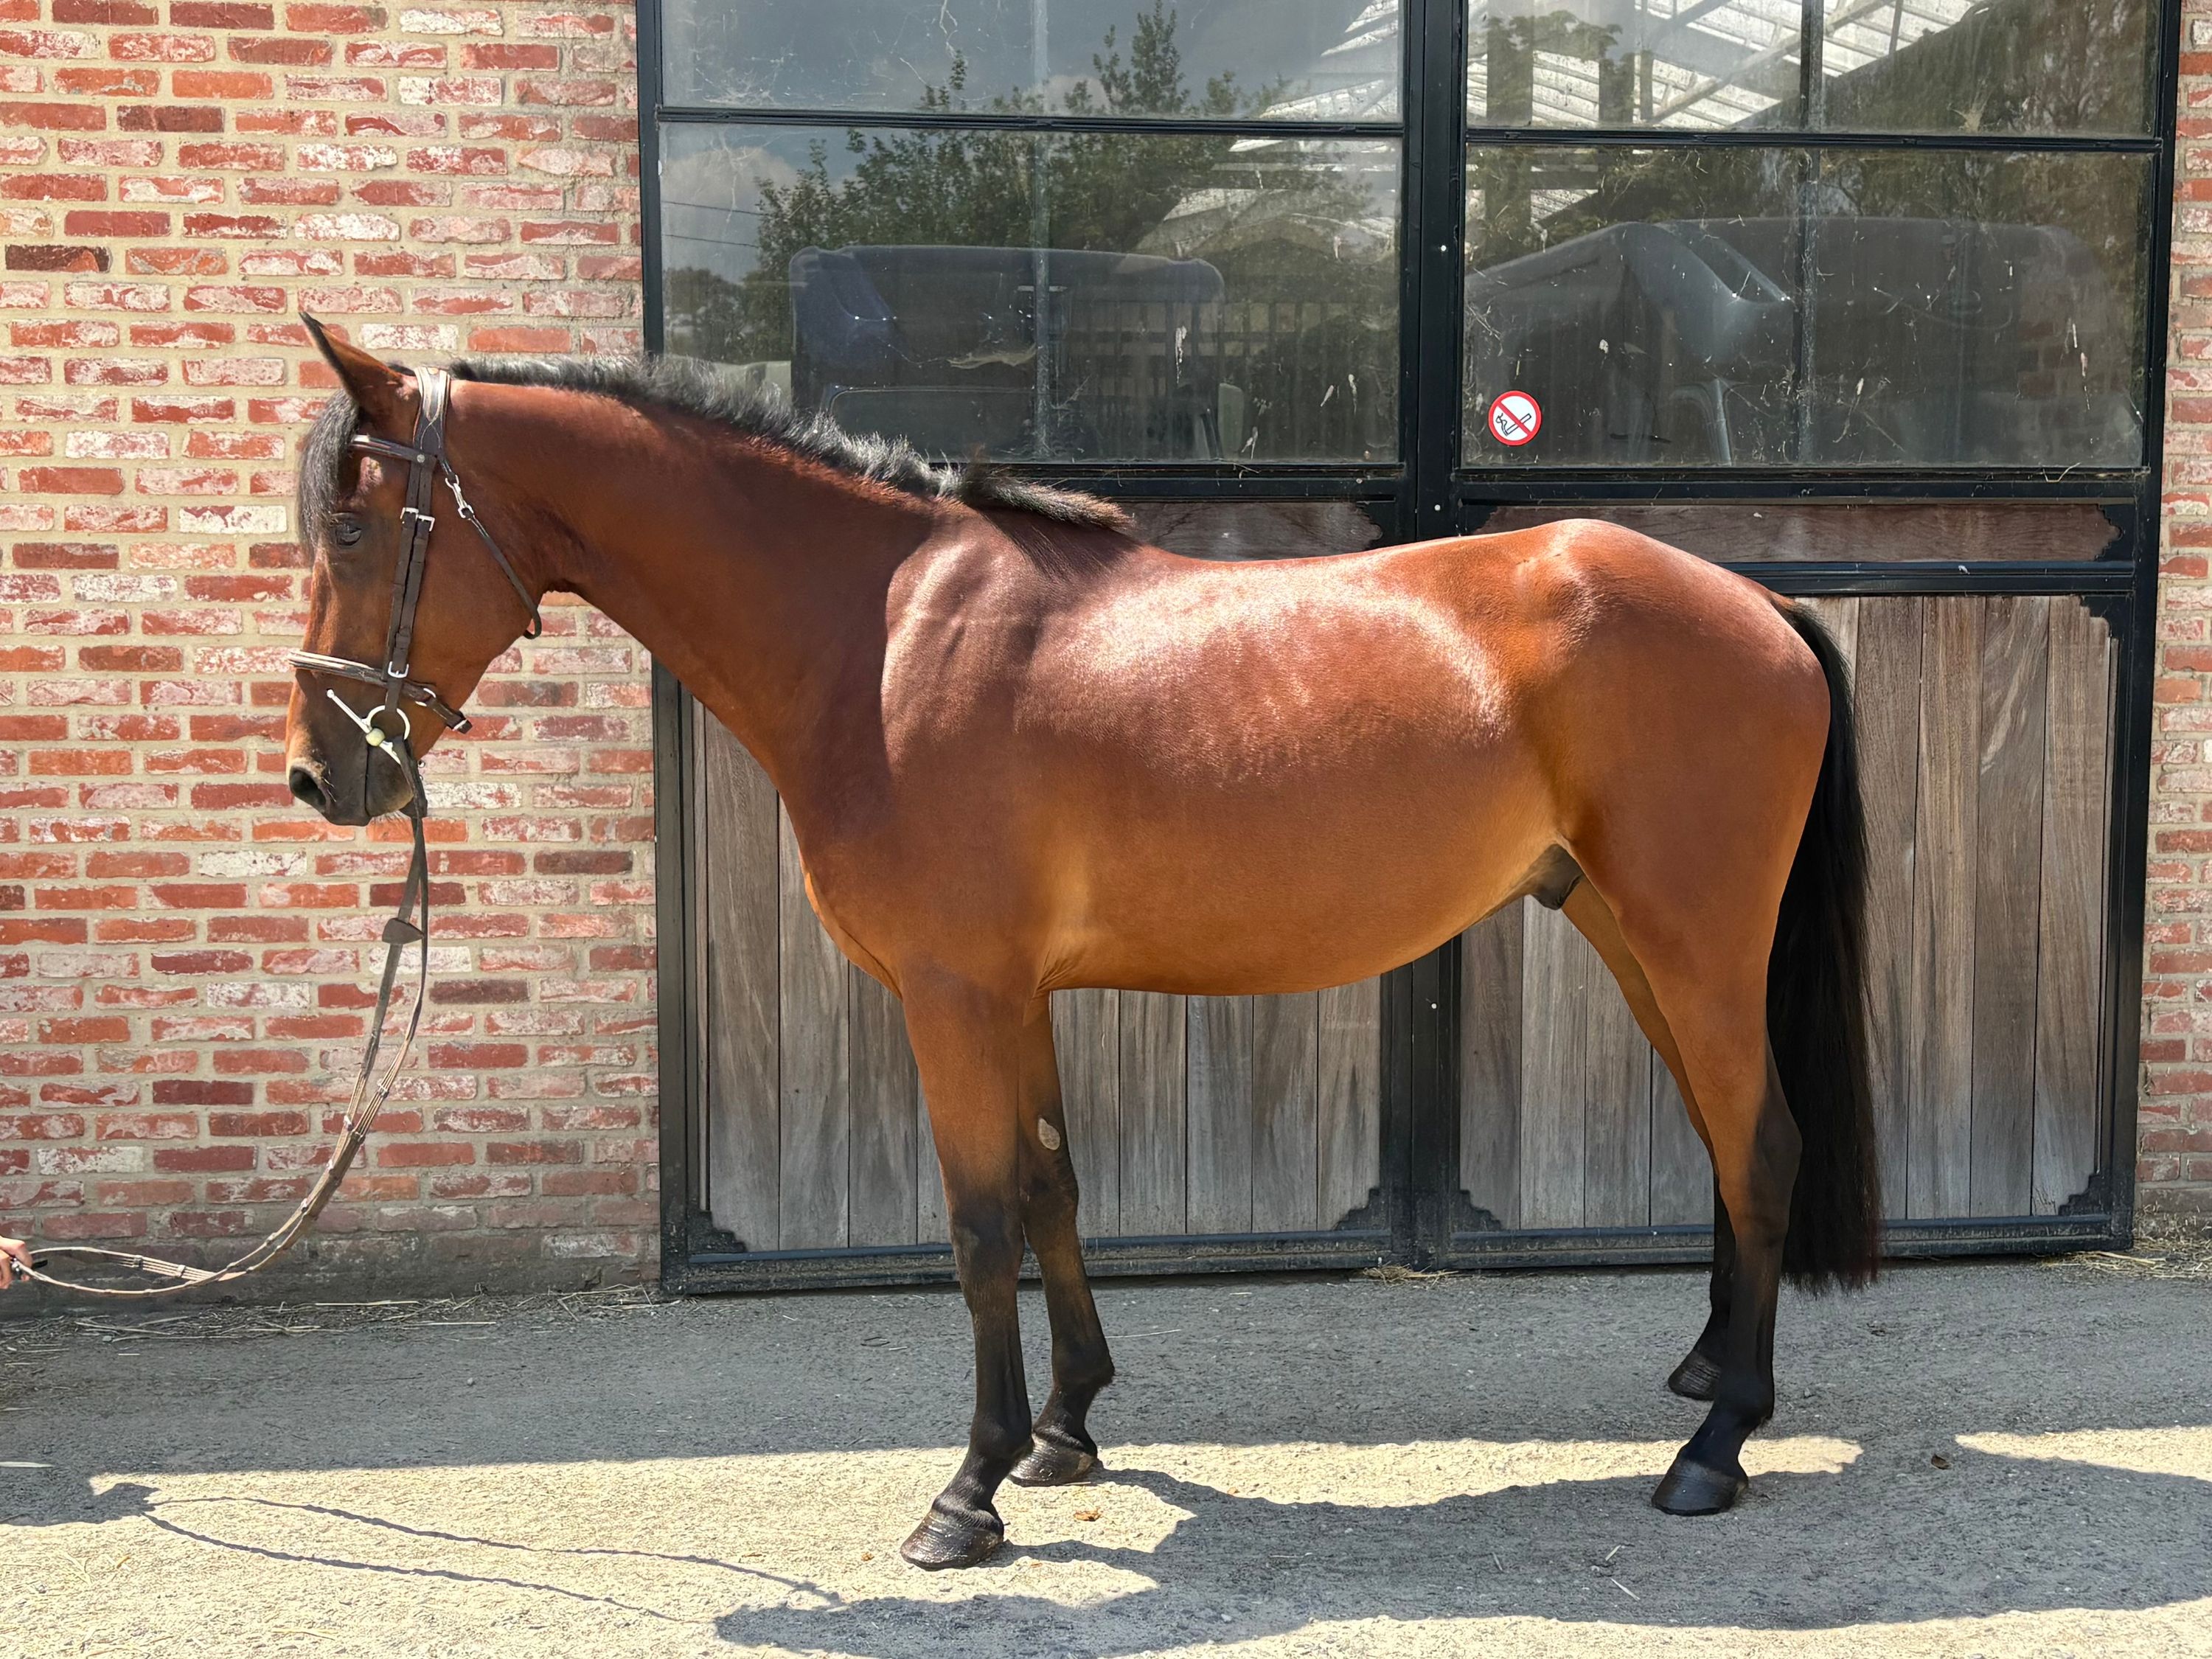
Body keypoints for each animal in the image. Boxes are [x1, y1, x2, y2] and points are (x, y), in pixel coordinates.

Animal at [282, 317, 1881, 1570]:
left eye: (354, 527)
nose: (322, 775)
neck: (879, 635)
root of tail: (1757, 601)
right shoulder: (1015, 997)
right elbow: (1053, 1187)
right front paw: (1064, 1432)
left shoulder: (951, 995)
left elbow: (980, 1221)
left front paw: (969, 1494)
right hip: (1628, 935)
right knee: (1728, 1144)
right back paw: (1703, 1374)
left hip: (1695, 946)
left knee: (1763, 1147)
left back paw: (1718, 1450)